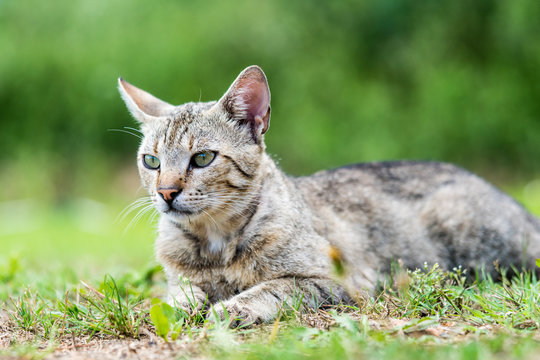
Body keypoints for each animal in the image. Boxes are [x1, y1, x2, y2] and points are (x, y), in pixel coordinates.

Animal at [118, 65, 540, 326]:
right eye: (151, 161)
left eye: (203, 158)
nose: (166, 192)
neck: (215, 243)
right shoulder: (180, 278)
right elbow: (176, 294)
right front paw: (175, 305)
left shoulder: (344, 279)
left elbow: (277, 286)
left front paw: (235, 306)